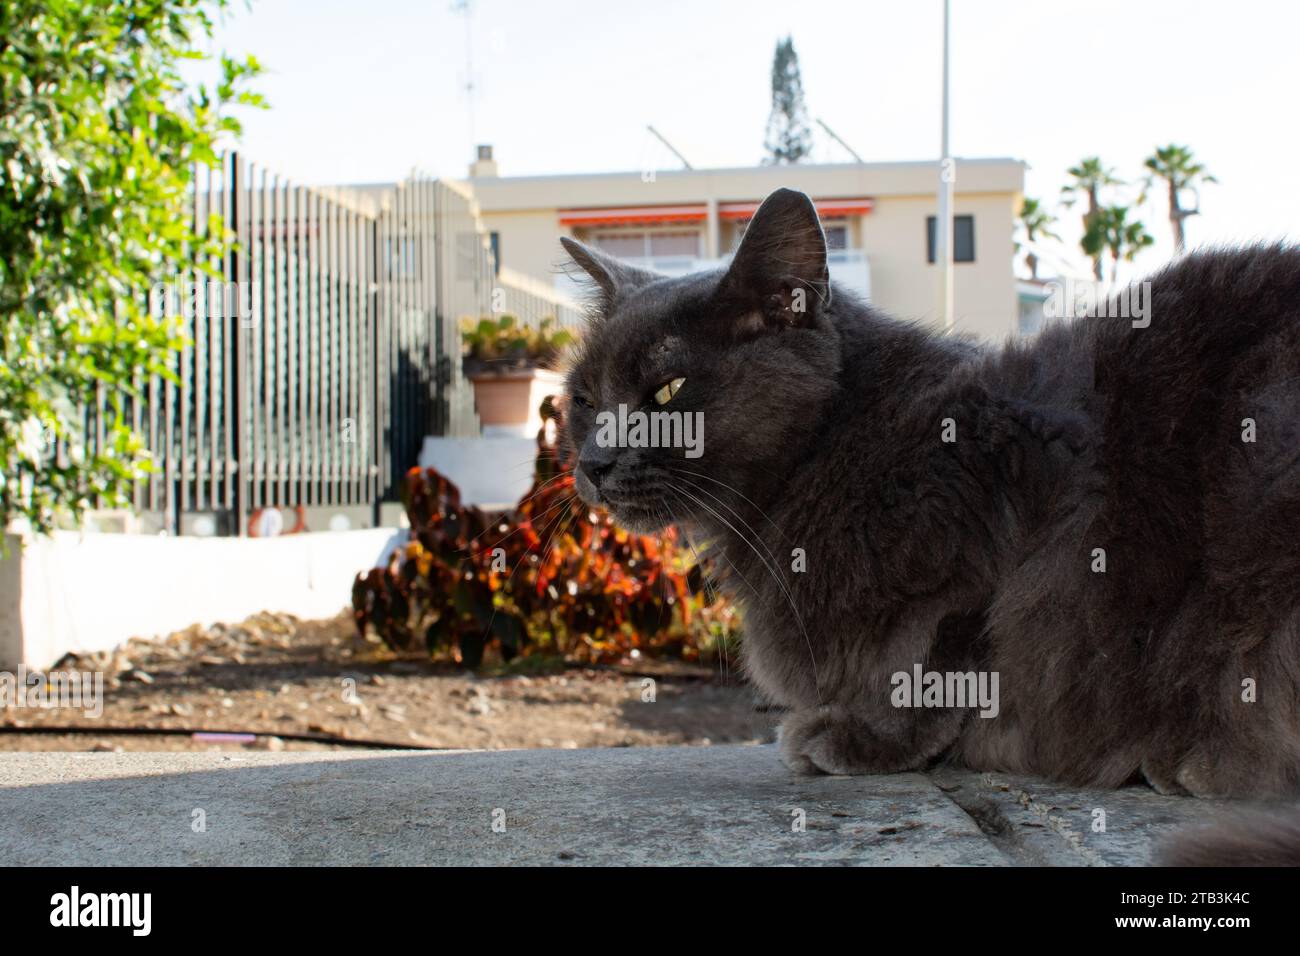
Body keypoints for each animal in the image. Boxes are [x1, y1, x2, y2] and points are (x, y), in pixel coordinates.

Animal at [556, 188, 1300, 832]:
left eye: (667, 390)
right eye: (585, 400)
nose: (593, 463)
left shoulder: (999, 525)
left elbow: (939, 659)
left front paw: (860, 738)